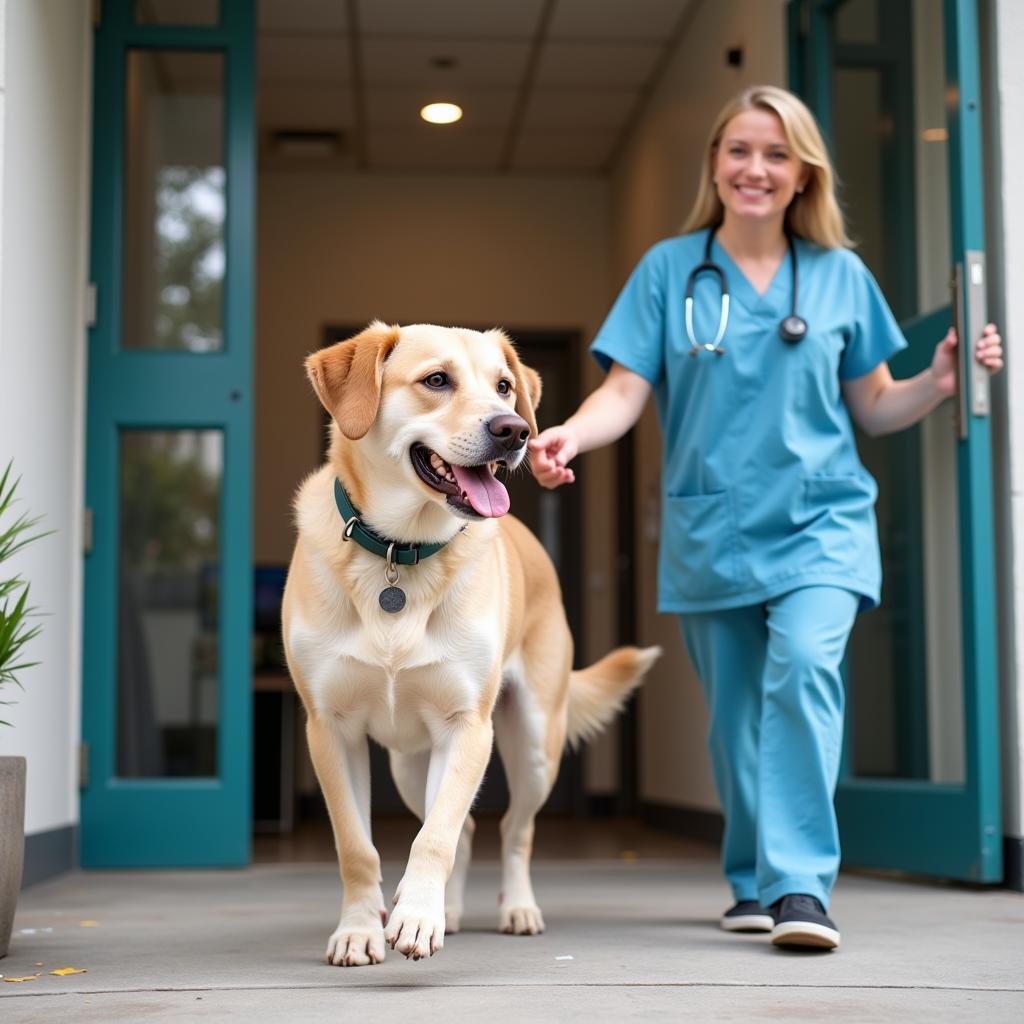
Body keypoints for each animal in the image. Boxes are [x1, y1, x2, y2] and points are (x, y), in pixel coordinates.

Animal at [284, 321, 659, 966]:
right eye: (437, 380)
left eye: (504, 386)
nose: (517, 430)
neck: (399, 552)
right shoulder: (329, 729)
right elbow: (359, 846)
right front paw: (360, 928)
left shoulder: (466, 726)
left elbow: (435, 836)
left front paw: (415, 916)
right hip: (408, 766)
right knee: (469, 829)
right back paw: (448, 912)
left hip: (533, 745)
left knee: (512, 830)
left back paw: (514, 908)